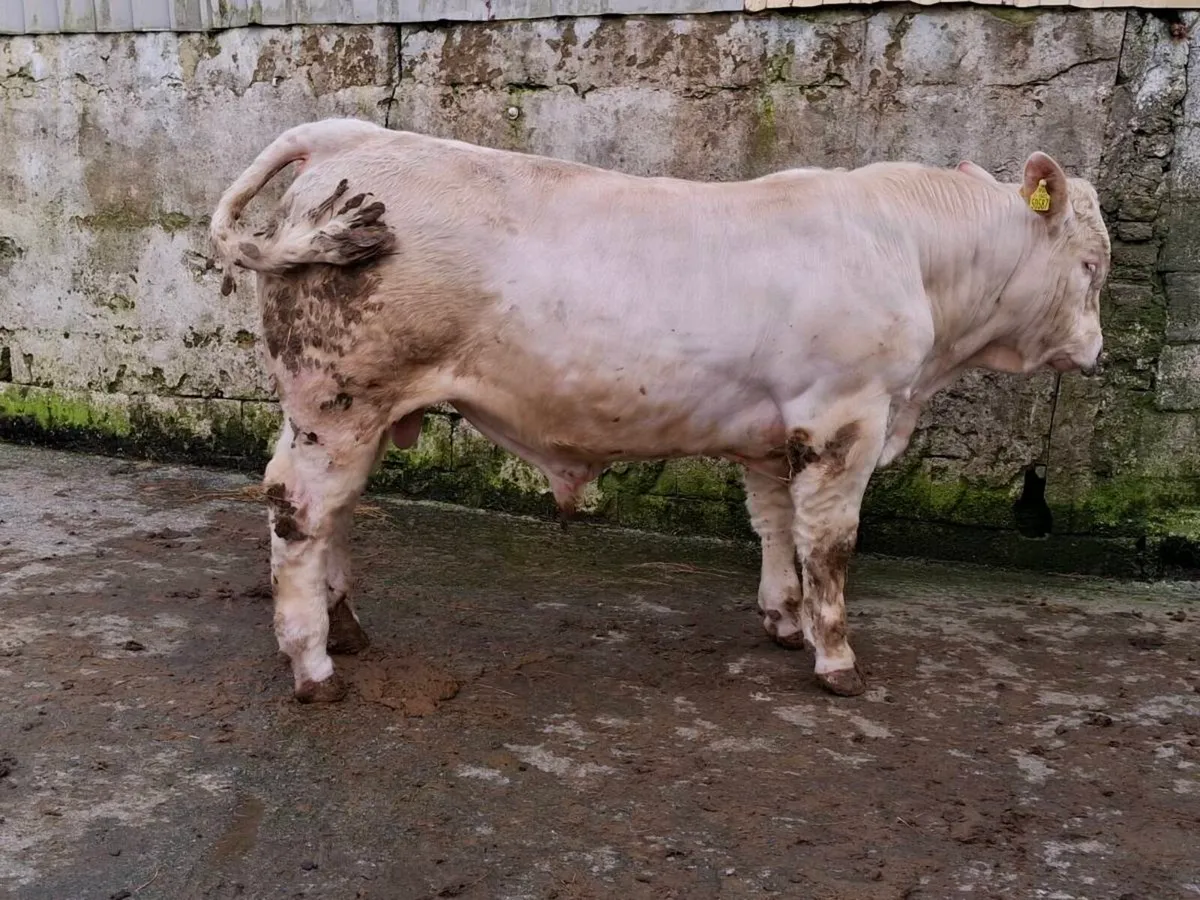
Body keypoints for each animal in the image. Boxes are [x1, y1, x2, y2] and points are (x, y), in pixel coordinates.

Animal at [209, 118, 1109, 704]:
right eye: (1093, 265)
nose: (1096, 350)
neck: (907, 252)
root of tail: (347, 134)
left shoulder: (774, 433)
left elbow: (775, 525)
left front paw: (784, 620)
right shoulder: (846, 417)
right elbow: (831, 544)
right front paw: (836, 658)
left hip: (341, 409)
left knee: (335, 513)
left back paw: (345, 629)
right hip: (341, 399)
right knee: (299, 511)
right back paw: (314, 666)